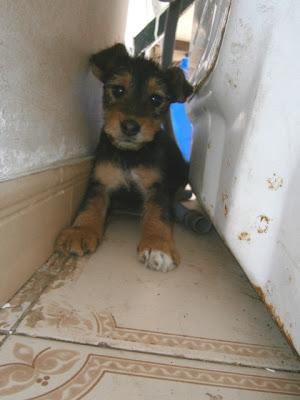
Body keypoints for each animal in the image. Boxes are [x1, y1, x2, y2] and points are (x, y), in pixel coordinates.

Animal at [55, 43, 193, 272]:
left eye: (156, 99)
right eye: (118, 90)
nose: (130, 127)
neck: (130, 154)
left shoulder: (158, 187)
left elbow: (158, 214)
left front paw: (158, 246)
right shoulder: (100, 181)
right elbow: (90, 205)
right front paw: (81, 231)